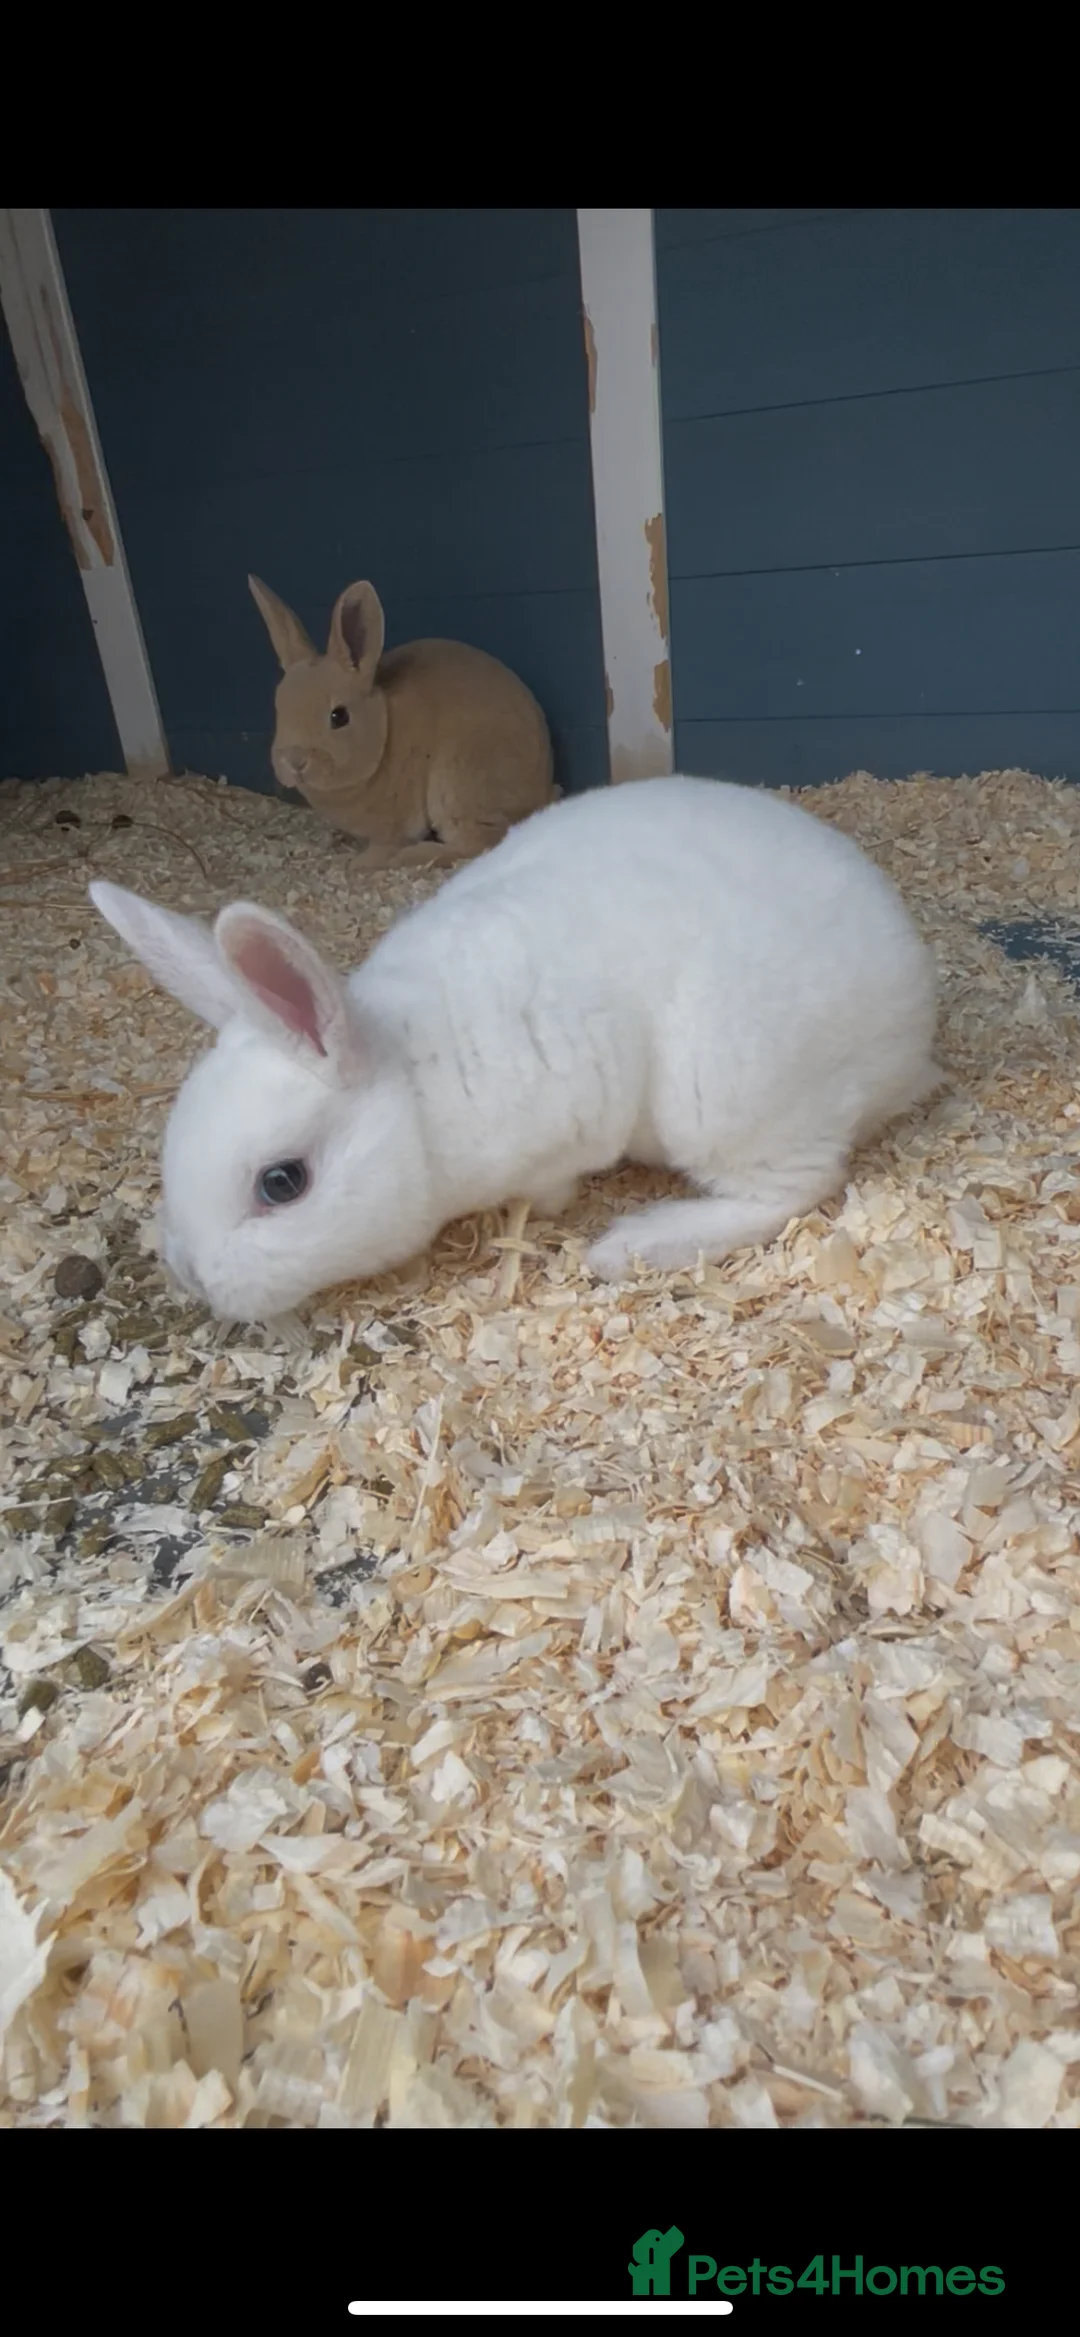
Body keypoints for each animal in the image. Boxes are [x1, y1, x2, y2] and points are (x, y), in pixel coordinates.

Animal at [88, 775, 939, 1326]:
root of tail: (914, 1015)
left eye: (282, 1182)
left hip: (727, 1092)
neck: (414, 1085)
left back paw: (631, 1245)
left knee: (795, 1186)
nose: (193, 1278)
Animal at [248, 573, 557, 869]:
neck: (382, 733)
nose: (294, 761)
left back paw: (413, 856)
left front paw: (360, 864)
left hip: (461, 787)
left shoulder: (394, 824)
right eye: (278, 709)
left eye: (339, 716)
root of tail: (541, 793)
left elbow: (386, 844)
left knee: (480, 843)